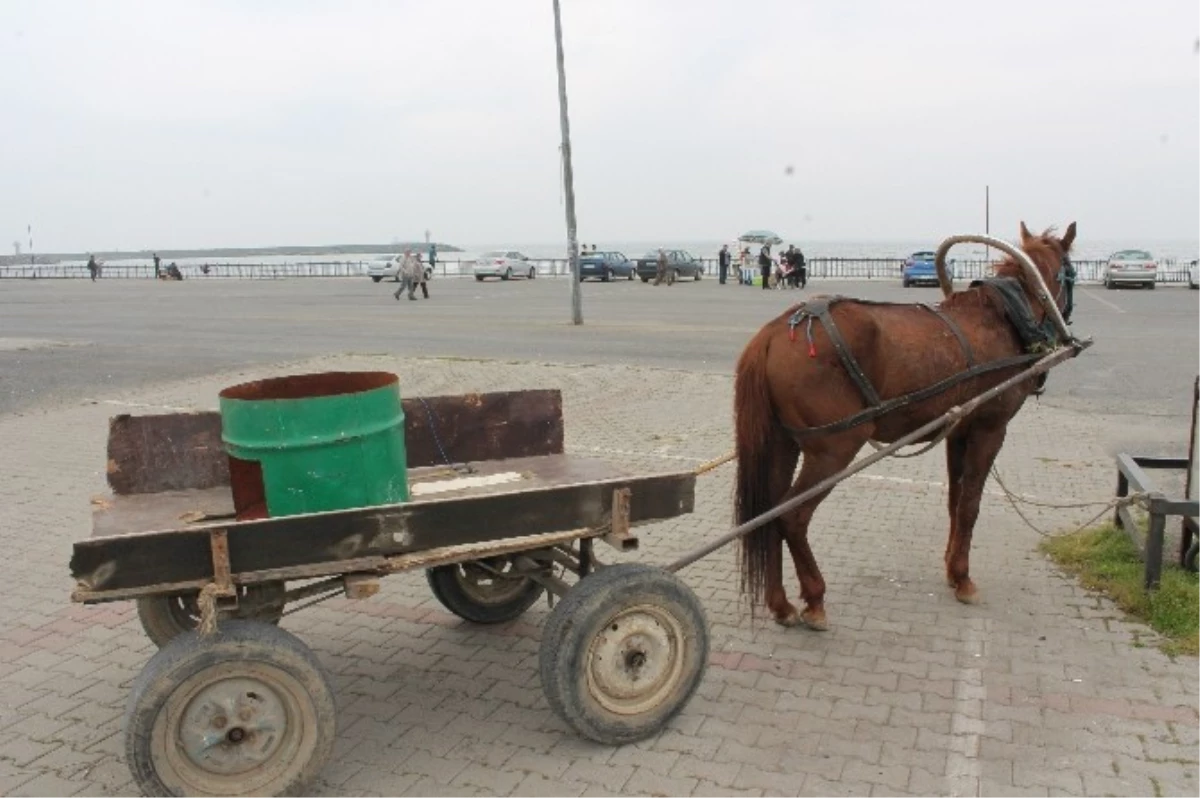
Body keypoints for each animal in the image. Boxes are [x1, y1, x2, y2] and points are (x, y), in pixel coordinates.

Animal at [734, 222, 1075, 628]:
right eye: (1068, 273)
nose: (1065, 326)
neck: (1001, 320)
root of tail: (773, 334)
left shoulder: (957, 431)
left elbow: (955, 500)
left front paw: (951, 568)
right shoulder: (989, 429)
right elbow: (970, 504)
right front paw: (963, 577)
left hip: (782, 444)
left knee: (767, 514)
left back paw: (780, 603)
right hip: (833, 450)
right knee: (792, 516)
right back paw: (815, 598)